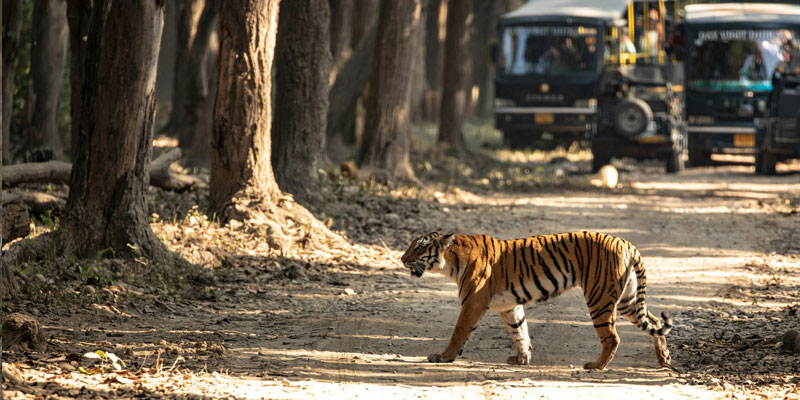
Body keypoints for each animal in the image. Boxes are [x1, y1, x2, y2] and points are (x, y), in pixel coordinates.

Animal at [400, 231, 672, 370]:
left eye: (419, 247)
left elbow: (459, 332)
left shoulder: (473, 303)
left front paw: (443, 357)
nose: (402, 259)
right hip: (627, 300)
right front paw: (521, 359)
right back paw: (664, 359)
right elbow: (520, 332)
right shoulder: (510, 306)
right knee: (655, 321)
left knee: (612, 337)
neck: (451, 263)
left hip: (600, 297)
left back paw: (596, 365)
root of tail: (626, 242)